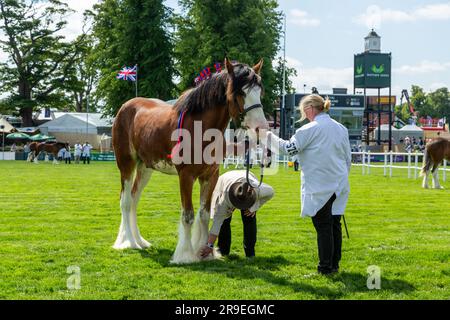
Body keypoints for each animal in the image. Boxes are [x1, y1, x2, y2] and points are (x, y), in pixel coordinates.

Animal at [112, 57, 268, 262]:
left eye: (260, 91)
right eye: (240, 92)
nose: (261, 128)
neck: (201, 129)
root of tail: (125, 107)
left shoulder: (210, 176)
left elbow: (204, 214)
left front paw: (205, 252)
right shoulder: (186, 176)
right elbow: (188, 216)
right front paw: (185, 255)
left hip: (145, 168)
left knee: (134, 199)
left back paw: (140, 241)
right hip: (126, 165)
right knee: (126, 202)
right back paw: (129, 242)